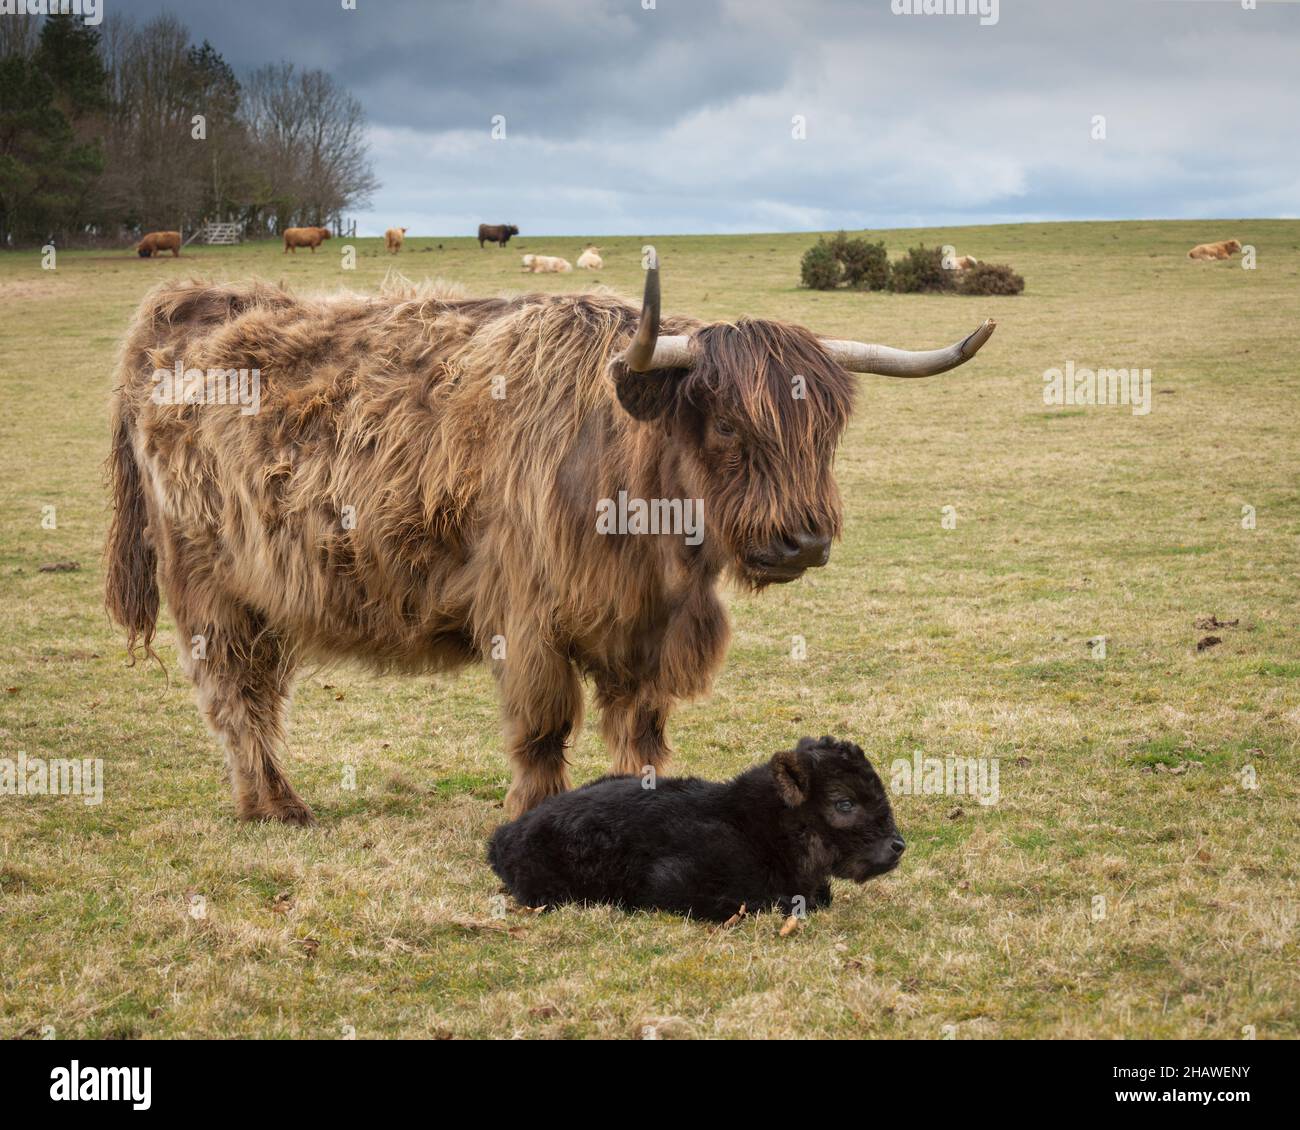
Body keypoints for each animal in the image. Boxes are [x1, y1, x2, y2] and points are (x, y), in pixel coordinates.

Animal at [106, 256, 993, 821]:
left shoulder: (648, 634)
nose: (802, 539)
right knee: (237, 697)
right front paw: (533, 813)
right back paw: (276, 805)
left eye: (828, 429)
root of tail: (181, 306)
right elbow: (541, 729)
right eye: (728, 424)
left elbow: (642, 732)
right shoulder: (528, 619)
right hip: (210, 588)